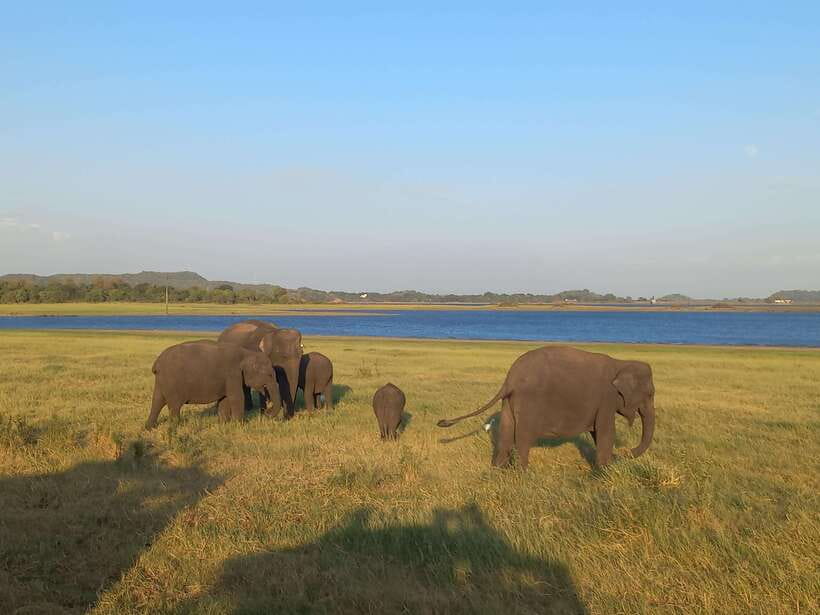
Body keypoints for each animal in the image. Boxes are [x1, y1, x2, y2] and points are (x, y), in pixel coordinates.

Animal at [145, 340, 280, 429]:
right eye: (269, 375)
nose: (267, 413)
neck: (247, 353)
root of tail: (156, 364)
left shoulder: (228, 379)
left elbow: (224, 399)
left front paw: (223, 424)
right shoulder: (232, 374)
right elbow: (236, 397)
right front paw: (238, 425)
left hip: (161, 381)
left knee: (157, 401)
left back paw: (149, 427)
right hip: (172, 382)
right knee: (174, 405)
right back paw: (174, 427)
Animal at [437, 346, 655, 469]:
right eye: (650, 394)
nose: (625, 452)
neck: (621, 363)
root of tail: (510, 379)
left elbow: (597, 433)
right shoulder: (606, 399)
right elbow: (605, 432)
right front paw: (604, 473)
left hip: (508, 403)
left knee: (506, 434)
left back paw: (498, 471)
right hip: (529, 402)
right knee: (523, 437)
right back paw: (523, 473)